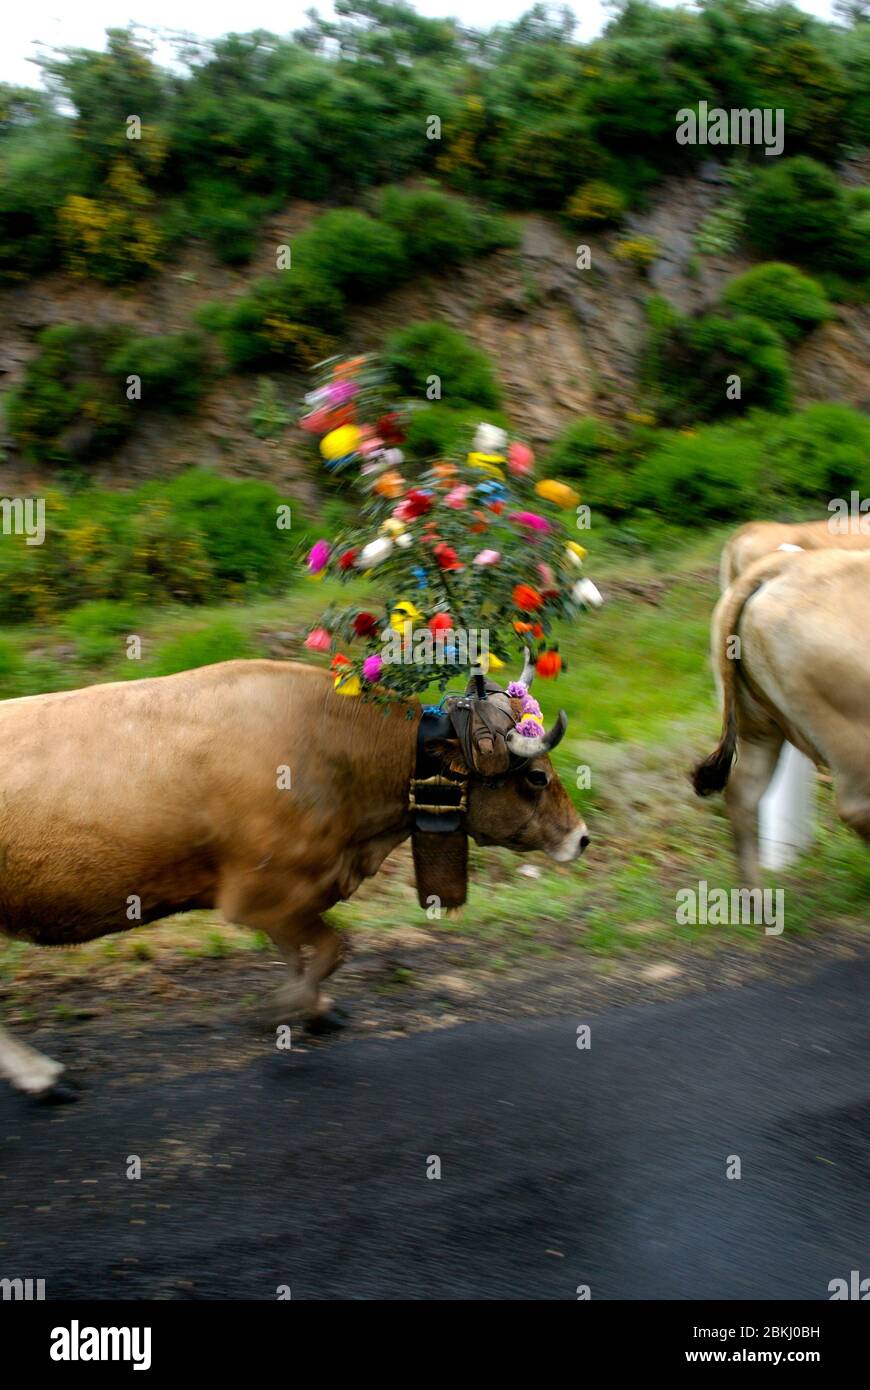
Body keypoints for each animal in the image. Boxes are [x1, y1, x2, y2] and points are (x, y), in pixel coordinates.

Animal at [0, 658, 586, 1095]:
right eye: (537, 777)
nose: (581, 838)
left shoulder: (289, 897)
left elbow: (303, 955)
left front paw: (312, 1007)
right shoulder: (261, 894)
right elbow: (331, 950)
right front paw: (286, 1008)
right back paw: (41, 1075)